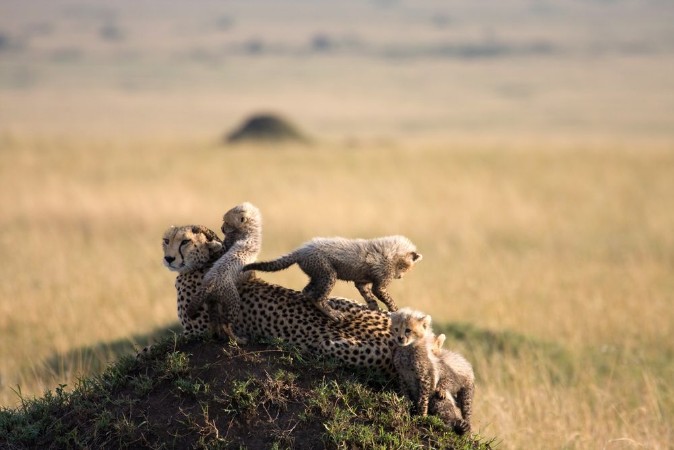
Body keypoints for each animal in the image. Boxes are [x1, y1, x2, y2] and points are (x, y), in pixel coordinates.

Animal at [243, 235, 422, 320]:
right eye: (407, 268)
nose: (400, 276)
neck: (392, 252)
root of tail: (302, 250)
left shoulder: (362, 282)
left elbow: (368, 295)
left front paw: (374, 308)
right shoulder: (380, 283)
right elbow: (384, 295)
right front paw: (395, 310)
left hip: (317, 273)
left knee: (307, 291)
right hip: (328, 273)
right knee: (318, 297)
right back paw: (333, 313)